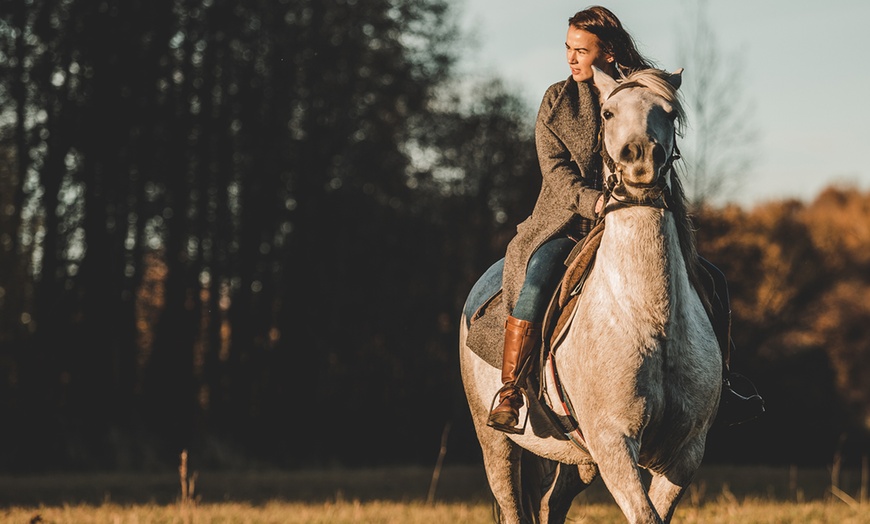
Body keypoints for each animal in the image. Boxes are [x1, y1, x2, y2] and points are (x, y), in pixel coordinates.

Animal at [460, 67, 724, 520]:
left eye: (670, 112)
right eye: (608, 112)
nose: (640, 159)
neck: (648, 316)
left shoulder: (685, 454)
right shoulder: (613, 443)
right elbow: (643, 515)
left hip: (578, 460)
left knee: (551, 504)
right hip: (495, 443)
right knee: (513, 503)